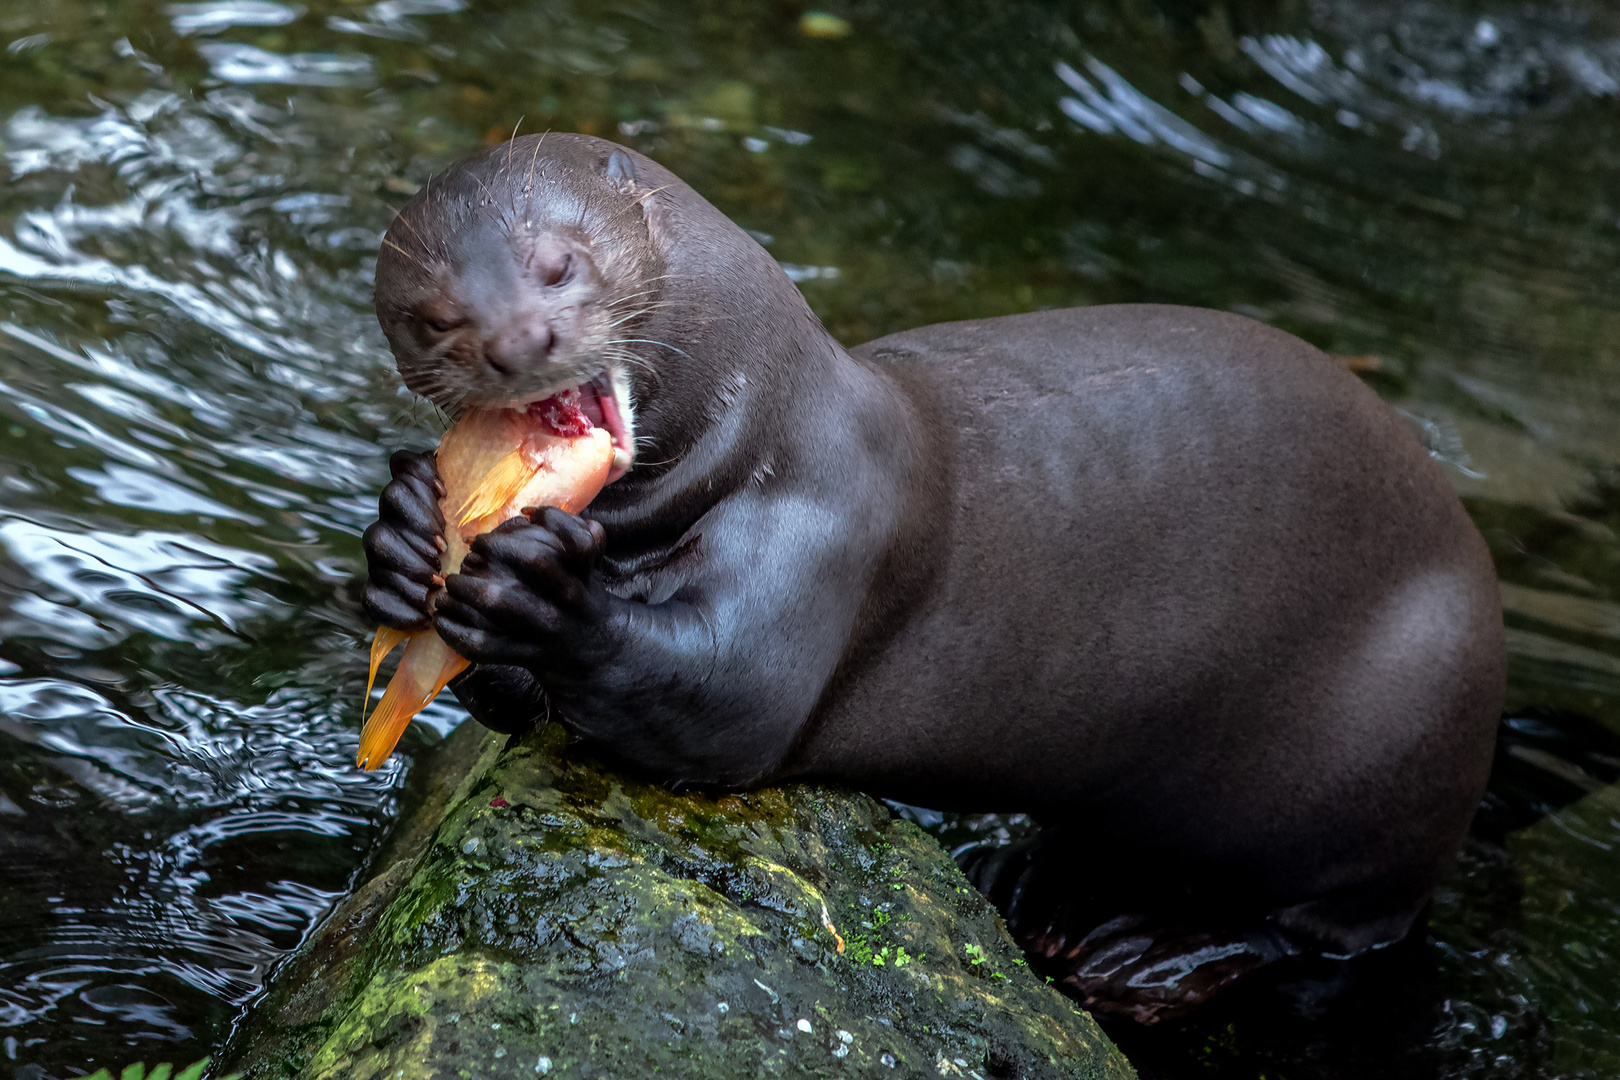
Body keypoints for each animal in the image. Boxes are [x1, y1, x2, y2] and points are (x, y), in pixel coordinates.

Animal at [364, 135, 1503, 1023]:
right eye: (432, 317)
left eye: (560, 265)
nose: (519, 341)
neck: (763, 424)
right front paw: (404, 536)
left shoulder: (834, 520)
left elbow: (727, 699)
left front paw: (545, 598)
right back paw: (1028, 881)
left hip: (1402, 729)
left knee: (1336, 929)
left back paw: (1153, 948)